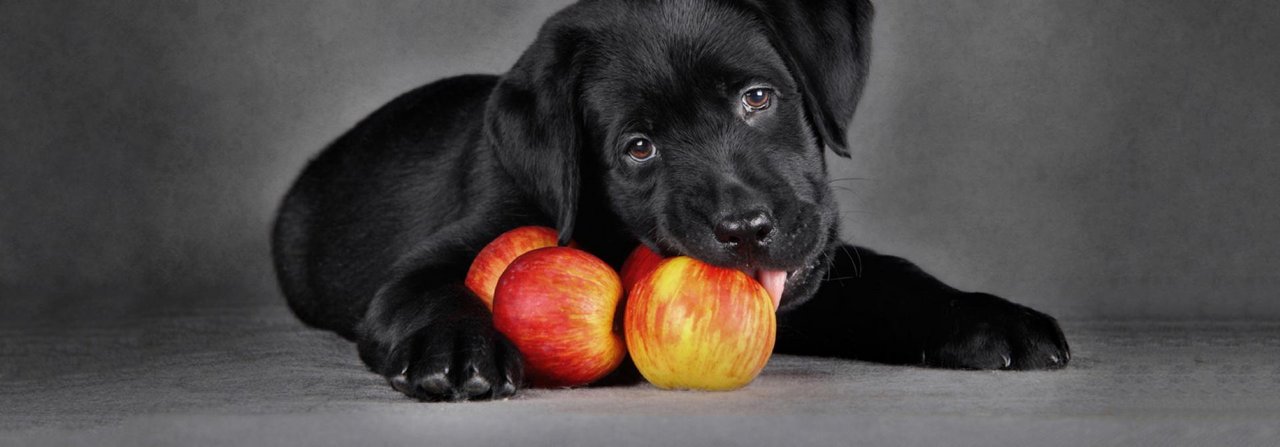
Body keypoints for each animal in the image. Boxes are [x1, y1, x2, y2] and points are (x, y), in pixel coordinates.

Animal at [272, 0, 1070, 399]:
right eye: (637, 147)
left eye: (758, 98)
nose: (745, 229)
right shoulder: (428, 264)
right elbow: (432, 289)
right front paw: (457, 349)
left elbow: (892, 278)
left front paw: (991, 319)